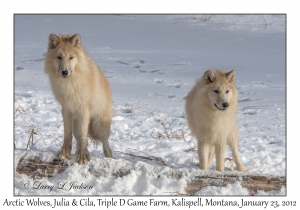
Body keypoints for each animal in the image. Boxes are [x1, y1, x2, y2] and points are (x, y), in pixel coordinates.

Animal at [44, 33, 113, 164]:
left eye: (71, 57)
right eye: (59, 57)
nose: (65, 72)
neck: (69, 85)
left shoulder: (83, 110)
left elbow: (83, 136)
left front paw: (83, 157)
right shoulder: (66, 109)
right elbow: (67, 134)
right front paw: (65, 153)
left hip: (99, 125)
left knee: (106, 145)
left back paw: (109, 158)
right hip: (77, 123)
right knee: (77, 138)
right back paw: (76, 153)